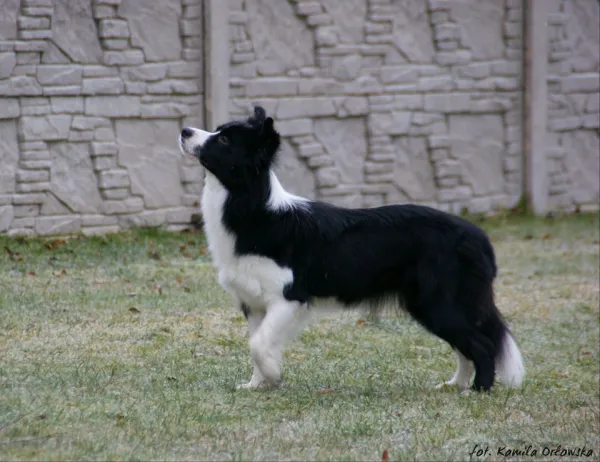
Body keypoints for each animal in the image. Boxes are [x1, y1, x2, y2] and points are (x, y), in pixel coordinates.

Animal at [178, 106, 525, 393]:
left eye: (224, 140)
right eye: (217, 131)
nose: (184, 130)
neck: (252, 208)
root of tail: (479, 236)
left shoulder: (289, 297)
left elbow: (259, 344)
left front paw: (274, 375)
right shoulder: (254, 303)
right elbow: (256, 341)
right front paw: (257, 385)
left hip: (438, 302)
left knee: (481, 344)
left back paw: (478, 390)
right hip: (435, 304)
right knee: (466, 345)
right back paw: (455, 384)